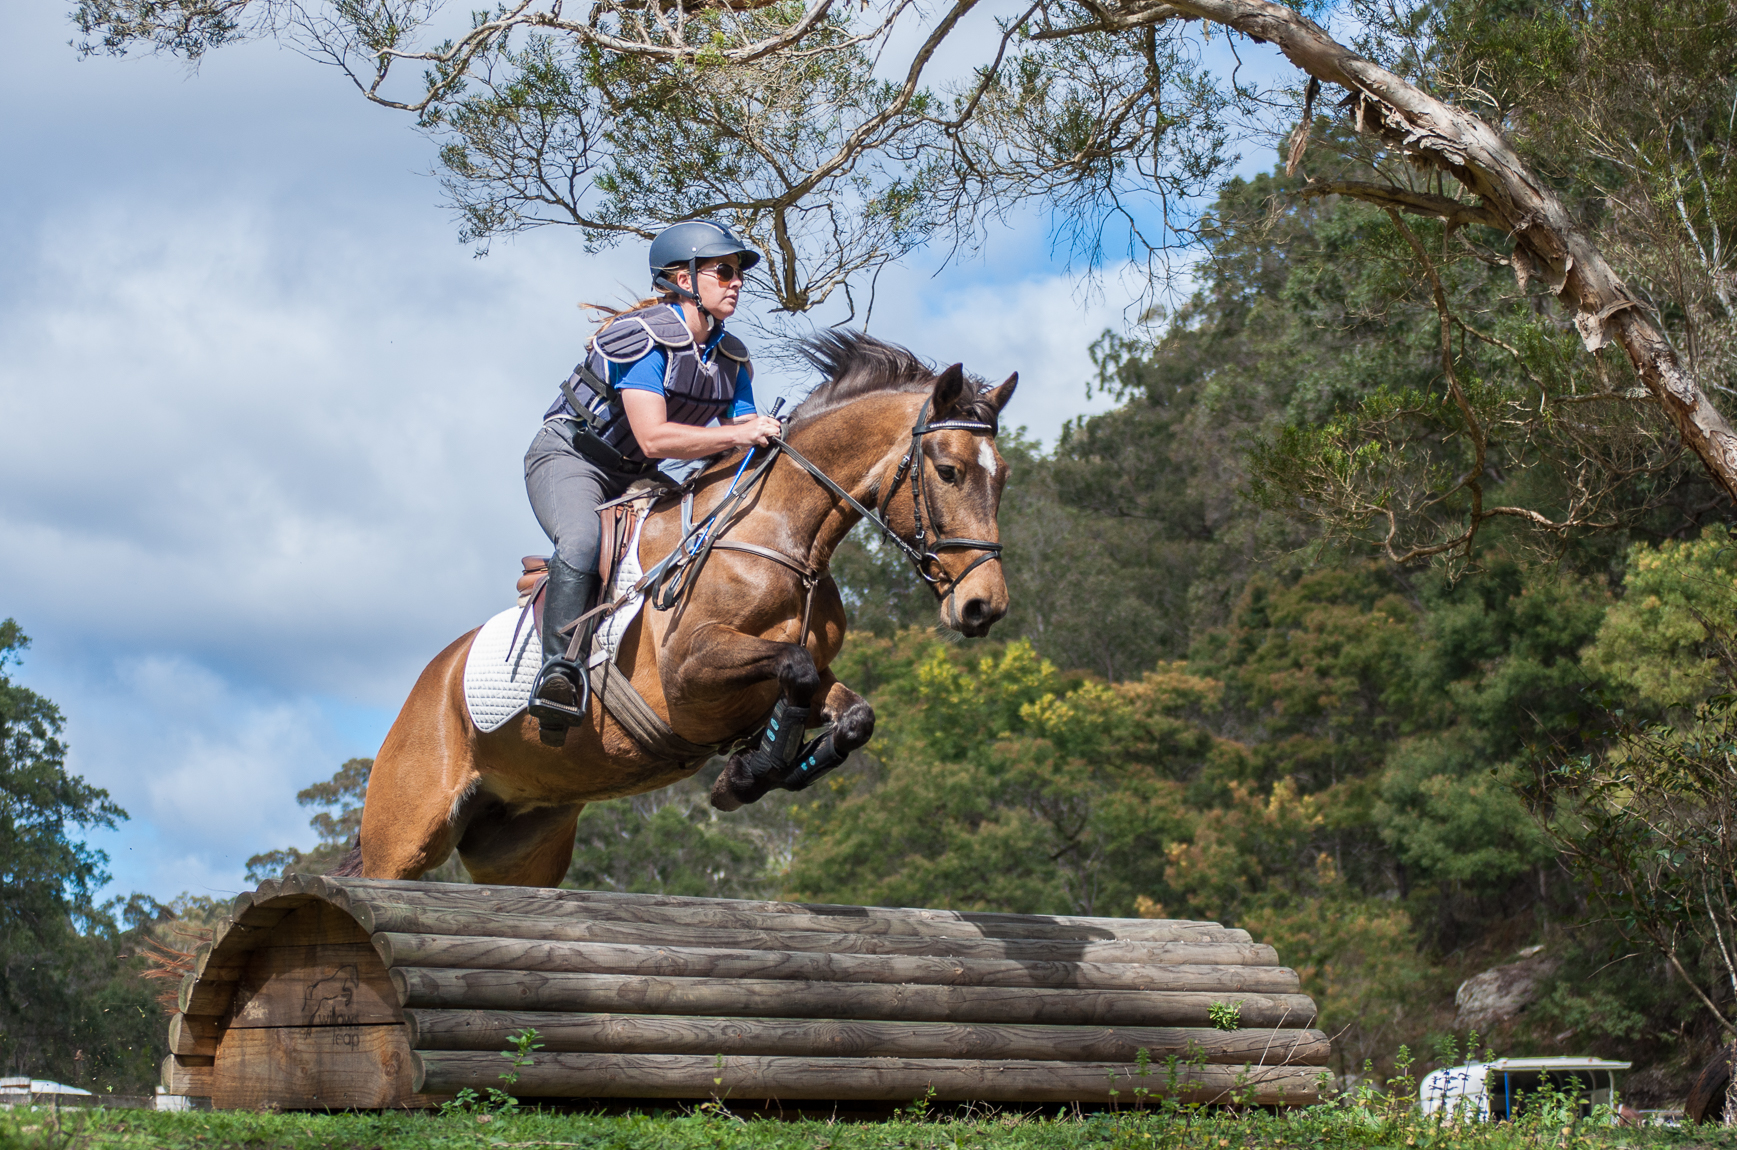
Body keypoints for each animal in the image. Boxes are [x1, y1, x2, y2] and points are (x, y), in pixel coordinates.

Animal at [347, 331, 1018, 887]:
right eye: (949, 471)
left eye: (1003, 477)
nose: (984, 606)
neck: (781, 534)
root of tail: (427, 685)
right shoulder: (688, 672)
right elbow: (794, 666)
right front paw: (750, 771)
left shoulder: (792, 675)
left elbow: (852, 713)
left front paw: (753, 772)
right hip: (404, 835)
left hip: (520, 845)